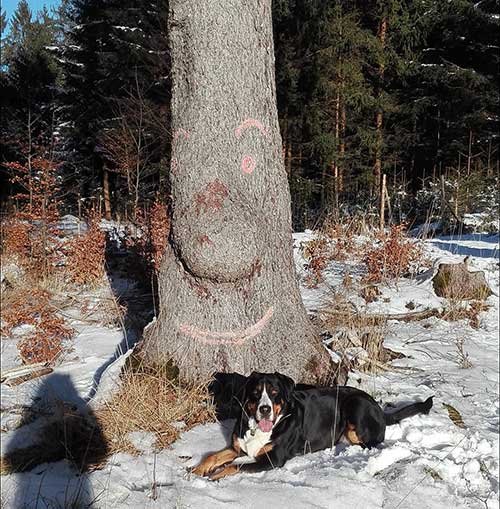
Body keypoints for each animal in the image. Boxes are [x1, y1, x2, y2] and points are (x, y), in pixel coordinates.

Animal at [189, 372, 432, 478]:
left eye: (274, 393)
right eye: (256, 393)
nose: (264, 409)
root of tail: (378, 408)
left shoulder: (273, 459)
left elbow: (235, 465)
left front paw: (214, 475)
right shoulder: (237, 446)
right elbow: (213, 456)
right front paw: (196, 470)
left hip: (355, 406)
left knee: (370, 443)